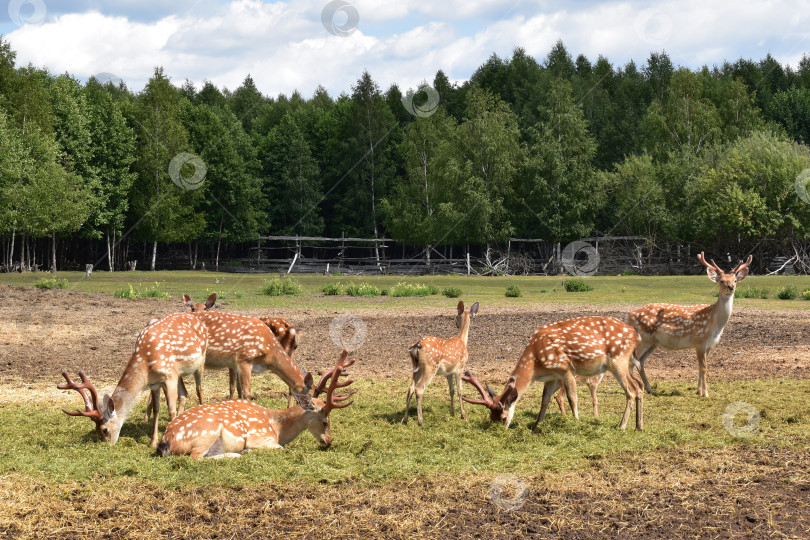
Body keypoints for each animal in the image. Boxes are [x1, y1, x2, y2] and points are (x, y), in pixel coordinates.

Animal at [58, 312, 207, 448]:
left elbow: (171, 410)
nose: (106, 445)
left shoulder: (169, 377)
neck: (145, 362)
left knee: (199, 389)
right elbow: (156, 409)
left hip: (201, 361)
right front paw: (153, 442)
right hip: (180, 374)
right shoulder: (155, 383)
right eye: (95, 430)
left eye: (104, 429)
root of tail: (197, 318)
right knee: (184, 394)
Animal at [158, 350, 354, 460]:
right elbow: (280, 448)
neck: (277, 428)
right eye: (325, 421)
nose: (329, 441)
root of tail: (165, 442)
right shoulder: (260, 437)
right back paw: (238, 454)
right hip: (206, 433)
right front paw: (248, 450)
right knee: (194, 457)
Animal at [460, 314, 644, 432]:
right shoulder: (551, 376)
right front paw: (535, 428)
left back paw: (622, 426)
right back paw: (638, 426)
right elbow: (544, 400)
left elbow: (572, 398)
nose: (499, 431)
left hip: (618, 360)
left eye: (503, 417)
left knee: (631, 391)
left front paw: (576, 424)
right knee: (639, 386)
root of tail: (636, 335)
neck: (536, 363)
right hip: (628, 364)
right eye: (491, 417)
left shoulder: (566, 369)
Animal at [624, 252, 752, 396]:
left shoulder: (708, 345)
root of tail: (628, 316)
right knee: (630, 361)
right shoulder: (699, 340)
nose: (731, 287)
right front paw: (705, 394)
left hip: (653, 342)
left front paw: (698, 391)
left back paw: (649, 389)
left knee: (640, 361)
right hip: (643, 338)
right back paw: (633, 390)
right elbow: (704, 368)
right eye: (721, 281)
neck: (715, 323)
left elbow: (701, 367)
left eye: (735, 280)